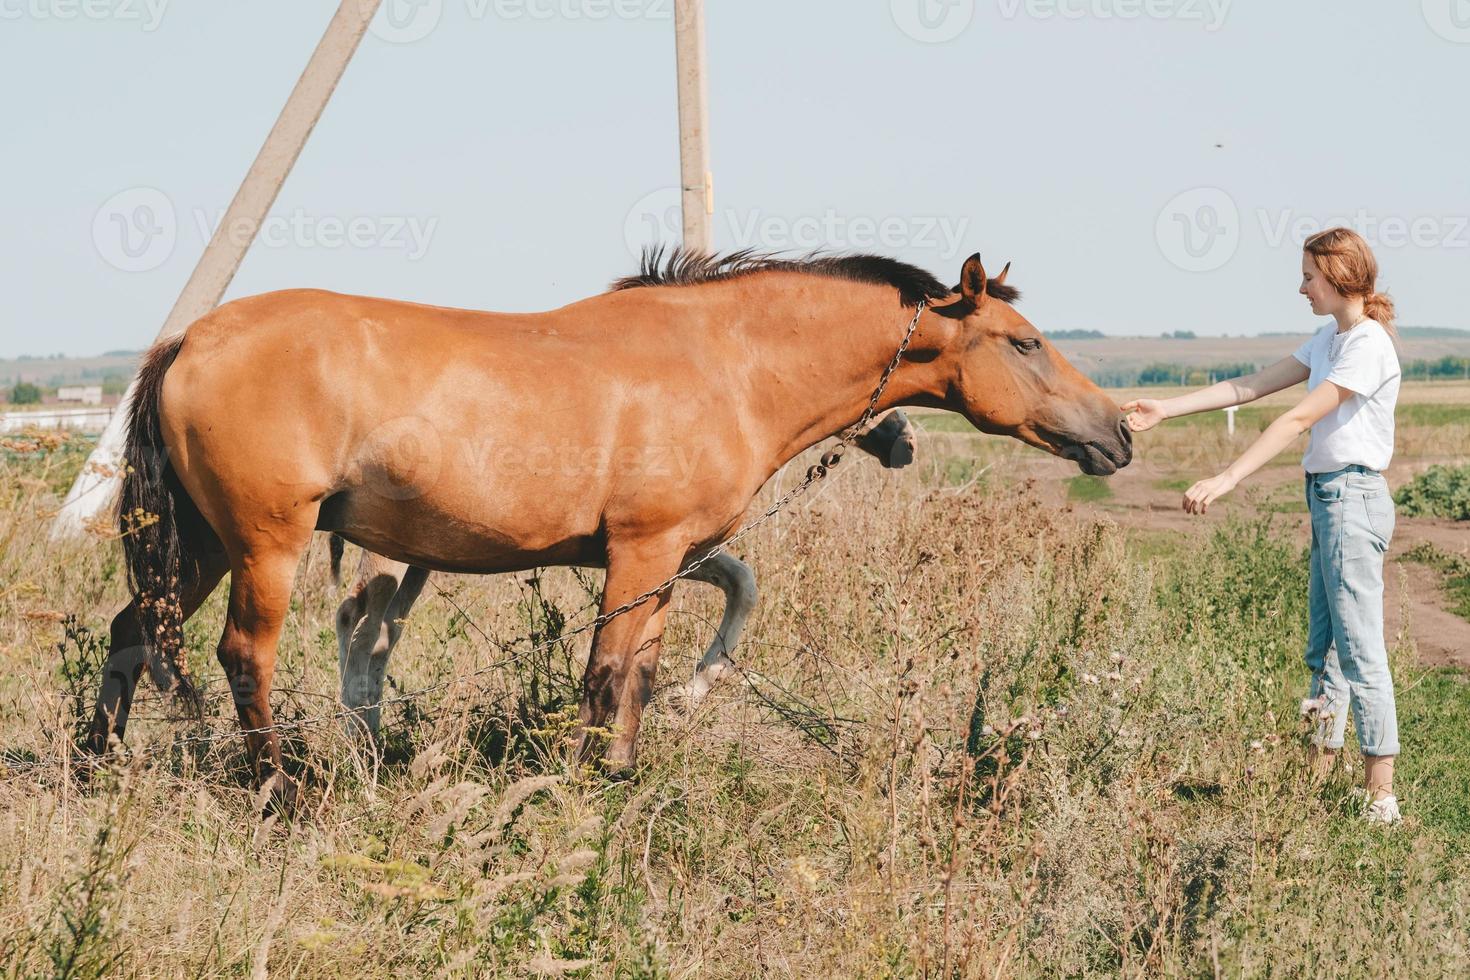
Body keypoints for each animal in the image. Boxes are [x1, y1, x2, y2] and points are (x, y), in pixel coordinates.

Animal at [85, 246, 1128, 799]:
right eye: (1026, 344)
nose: (1117, 433)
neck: (724, 361)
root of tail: (193, 337)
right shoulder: (641, 553)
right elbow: (607, 675)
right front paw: (586, 789)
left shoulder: (672, 560)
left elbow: (651, 668)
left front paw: (627, 770)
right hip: (267, 543)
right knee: (242, 656)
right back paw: (284, 794)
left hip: (202, 545)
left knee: (131, 632)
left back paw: (93, 768)